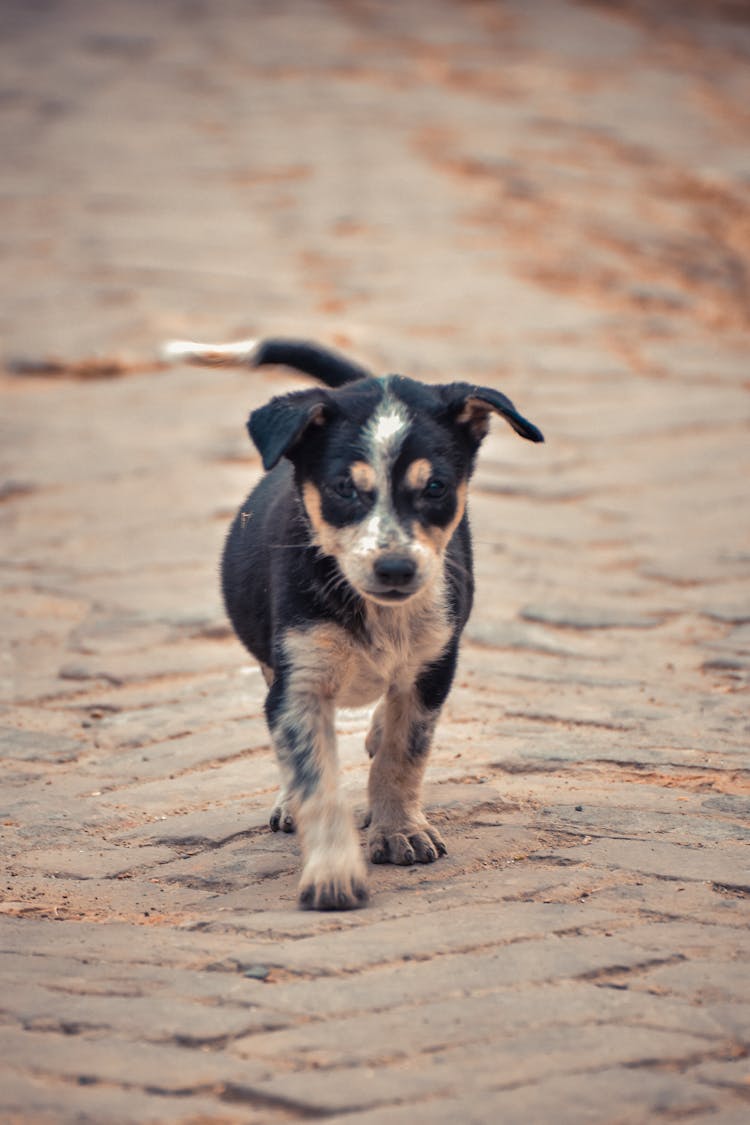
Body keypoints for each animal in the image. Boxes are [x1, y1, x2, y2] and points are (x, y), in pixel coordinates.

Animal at [163, 337, 546, 909]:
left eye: (436, 487)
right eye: (344, 488)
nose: (396, 568)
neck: (377, 612)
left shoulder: (434, 668)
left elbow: (402, 755)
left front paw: (400, 831)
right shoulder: (298, 682)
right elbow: (317, 781)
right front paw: (333, 875)